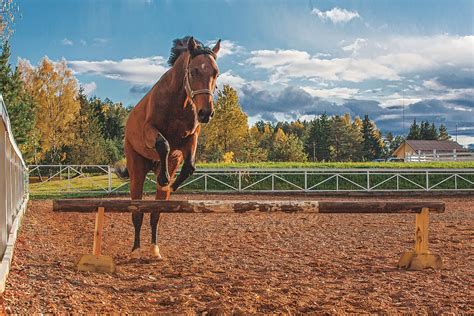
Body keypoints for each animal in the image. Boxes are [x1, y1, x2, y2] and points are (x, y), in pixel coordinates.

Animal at [118, 36, 222, 260]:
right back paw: (136, 249)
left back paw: (154, 249)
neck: (179, 101)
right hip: (136, 168)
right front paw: (166, 179)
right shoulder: (150, 130)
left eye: (216, 73)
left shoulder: (190, 138)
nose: (206, 113)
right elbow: (162, 143)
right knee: (137, 211)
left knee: (155, 213)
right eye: (194, 71)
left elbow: (190, 166)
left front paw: (171, 185)